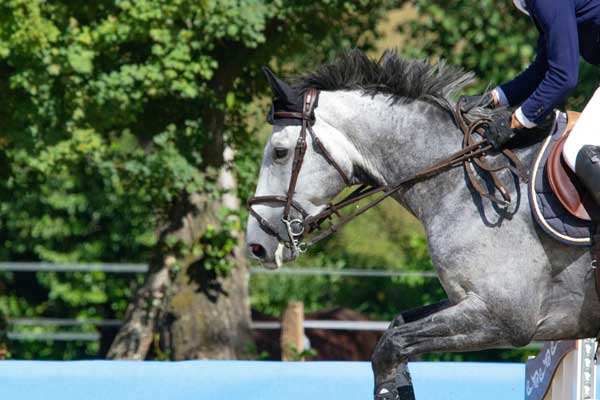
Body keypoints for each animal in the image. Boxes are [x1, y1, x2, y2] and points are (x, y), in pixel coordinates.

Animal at [243, 50, 600, 400]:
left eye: (279, 152)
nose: (256, 244)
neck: (464, 182)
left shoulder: (504, 317)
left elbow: (391, 345)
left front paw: (388, 390)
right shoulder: (467, 301)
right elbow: (396, 326)